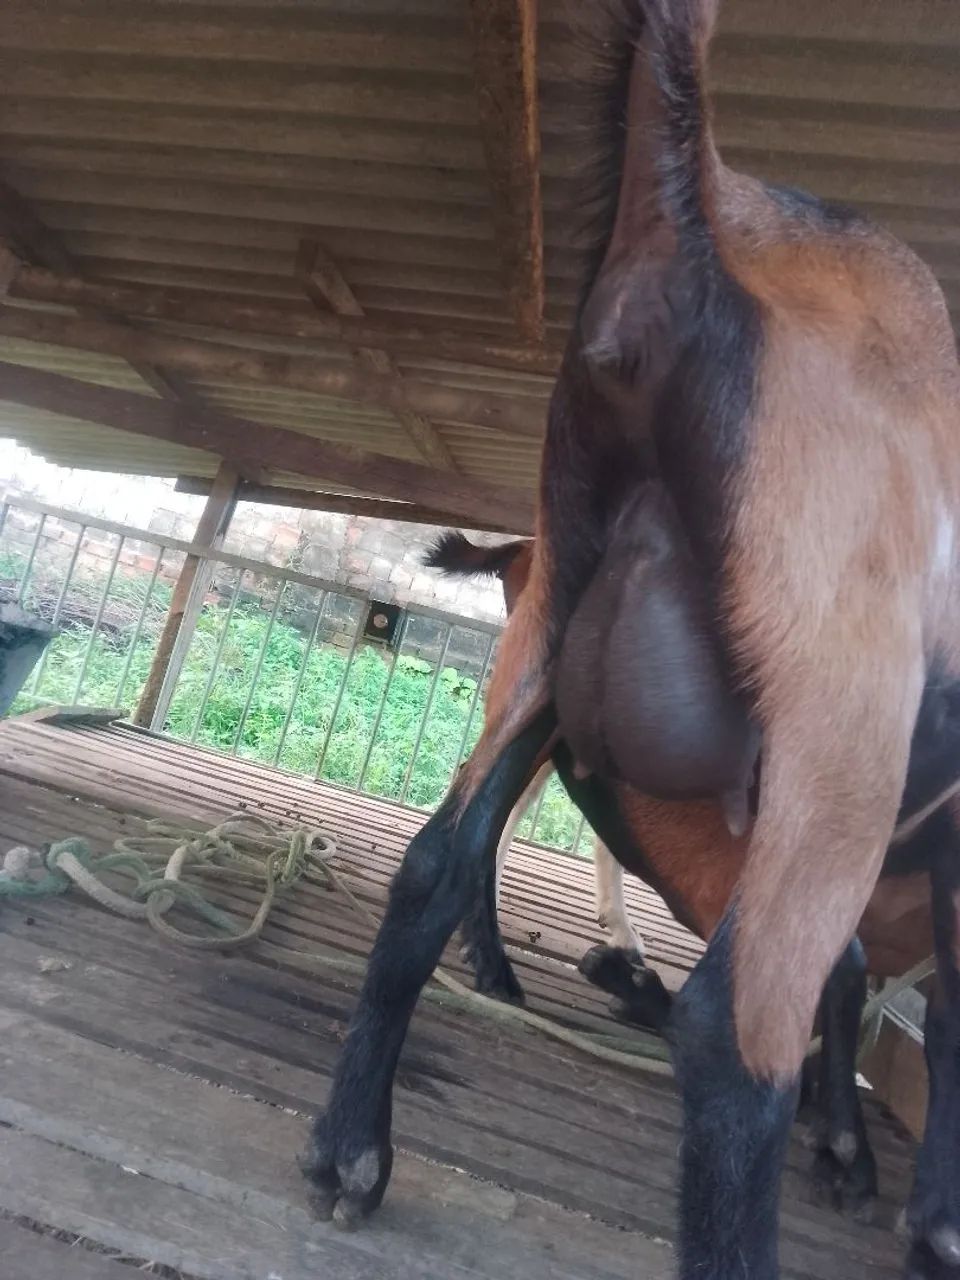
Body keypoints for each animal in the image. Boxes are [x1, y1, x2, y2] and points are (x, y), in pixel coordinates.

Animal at [307, 3, 960, 1274]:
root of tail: (704, 202)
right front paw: (925, 1209)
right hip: (843, 707)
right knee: (734, 1032)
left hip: (554, 623)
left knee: (434, 861)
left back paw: (352, 1148)